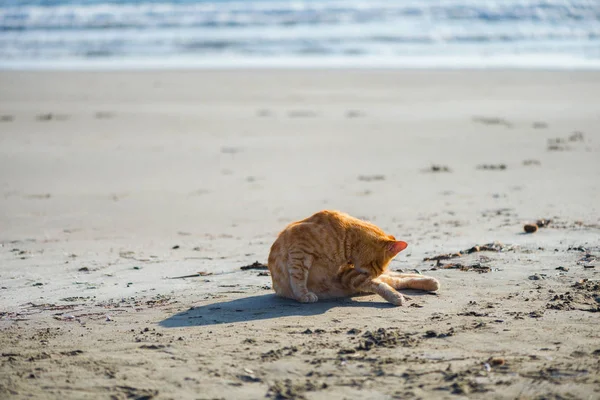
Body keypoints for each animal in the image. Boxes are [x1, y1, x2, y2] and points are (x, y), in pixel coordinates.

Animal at [270, 209, 438, 306]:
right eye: (376, 266)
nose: (373, 275)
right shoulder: (299, 251)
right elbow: (298, 276)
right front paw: (302, 294)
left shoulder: (348, 274)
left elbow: (379, 284)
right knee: (393, 280)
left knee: (395, 278)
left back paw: (431, 281)